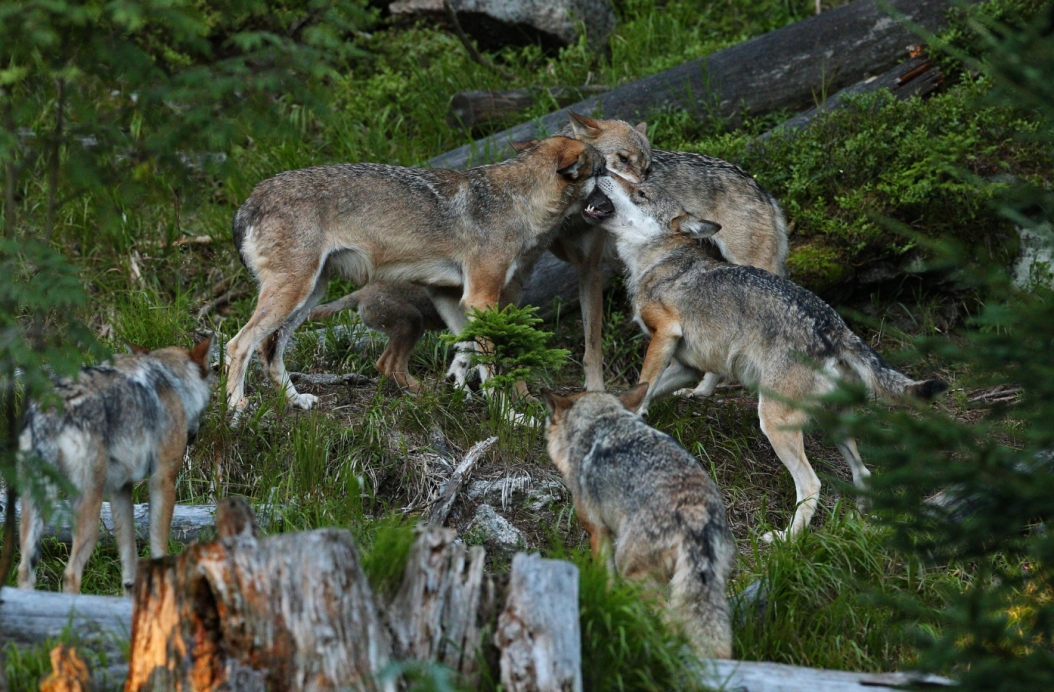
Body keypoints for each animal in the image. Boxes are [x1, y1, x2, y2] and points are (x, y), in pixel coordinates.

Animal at [18, 334, 213, 594]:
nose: (193, 436)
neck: (170, 379)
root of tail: (52, 410)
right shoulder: (162, 479)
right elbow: (158, 545)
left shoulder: (121, 489)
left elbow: (129, 559)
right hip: (88, 508)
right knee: (70, 573)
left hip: (38, 507)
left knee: (24, 570)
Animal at [226, 137, 607, 412]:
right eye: (605, 169)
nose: (621, 188)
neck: (518, 202)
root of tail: (249, 201)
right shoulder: (480, 297)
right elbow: (491, 363)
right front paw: (509, 415)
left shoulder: (450, 296)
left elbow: (466, 351)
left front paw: (459, 390)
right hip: (293, 295)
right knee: (237, 344)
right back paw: (235, 408)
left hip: (308, 296)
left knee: (269, 350)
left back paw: (296, 401)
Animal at [543, 383, 733, 657]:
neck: (601, 420)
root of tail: (695, 514)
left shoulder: (598, 531)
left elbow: (605, 579)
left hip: (632, 571)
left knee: (669, 620)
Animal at [581, 172, 952, 539]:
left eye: (640, 192)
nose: (601, 171)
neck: (657, 262)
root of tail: (836, 329)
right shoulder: (687, 366)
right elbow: (641, 390)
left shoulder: (665, 335)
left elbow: (643, 384)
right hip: (834, 426)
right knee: (864, 473)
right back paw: (863, 521)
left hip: (773, 422)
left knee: (812, 484)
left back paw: (787, 539)